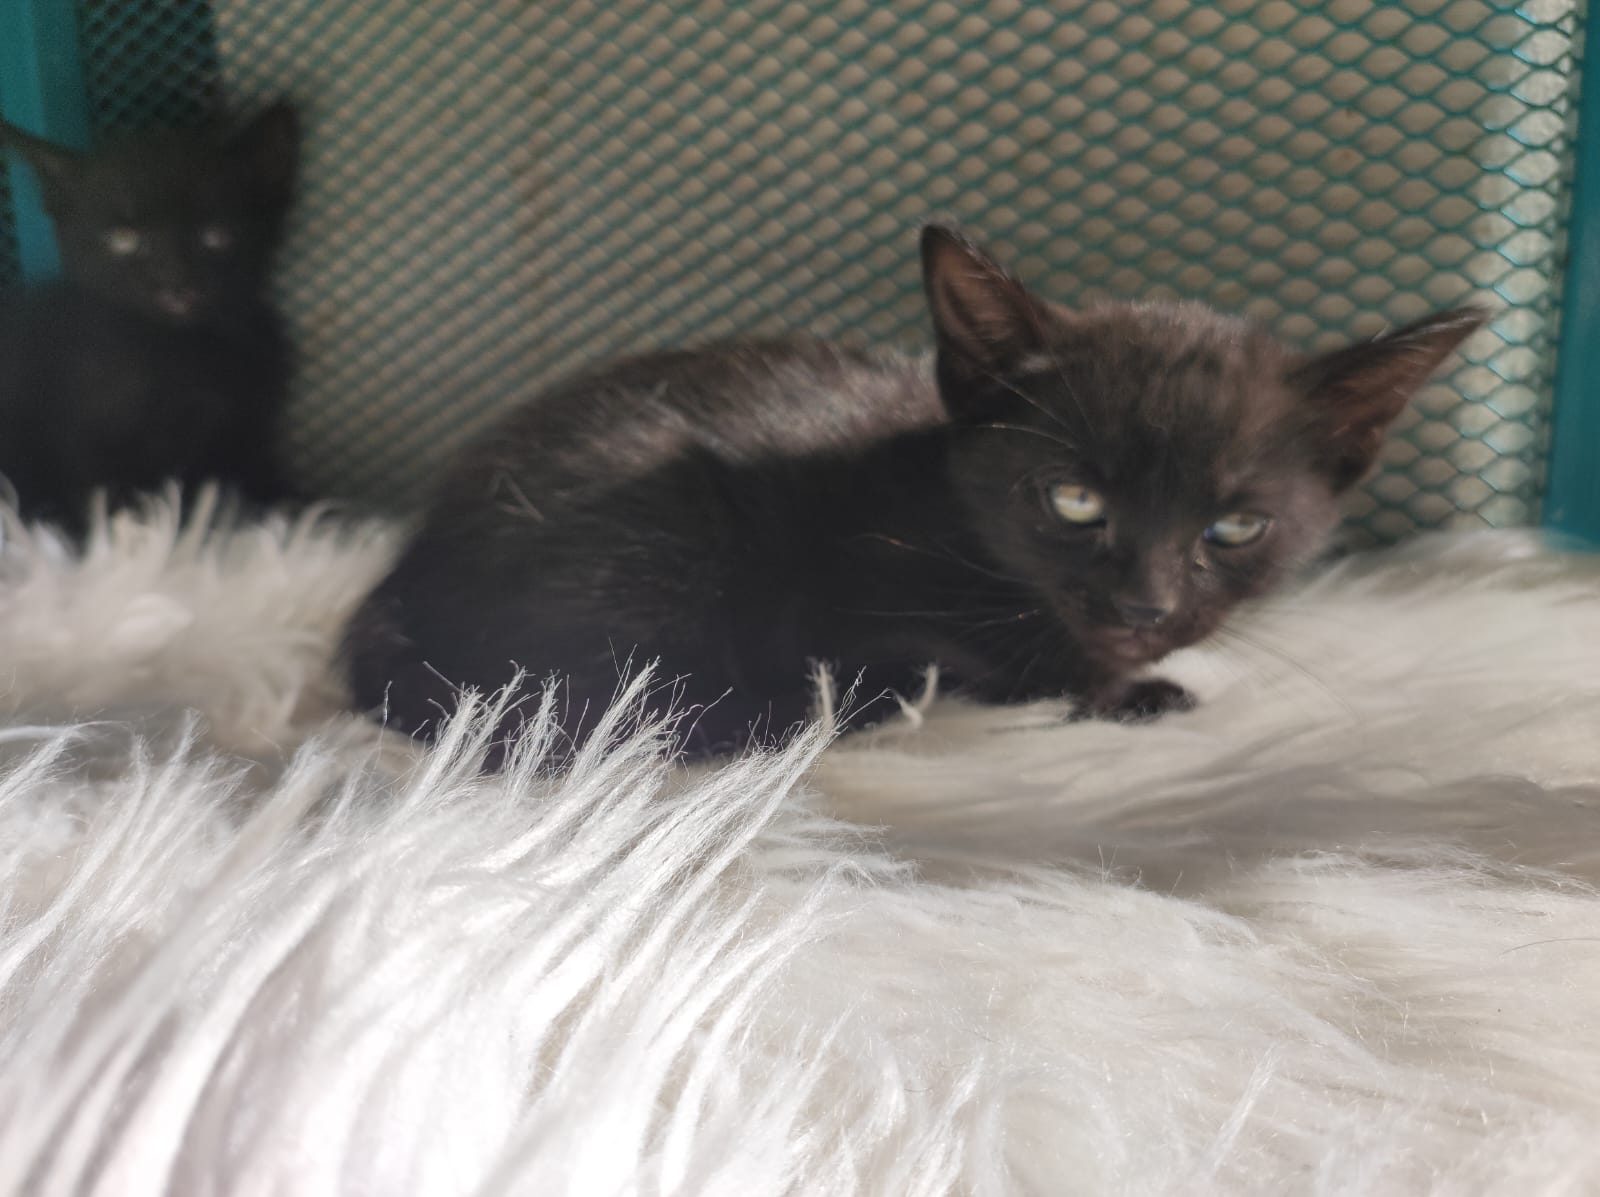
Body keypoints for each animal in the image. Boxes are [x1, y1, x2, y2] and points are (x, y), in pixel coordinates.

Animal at [0, 101, 300, 532]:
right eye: (124, 239)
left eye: (215, 234)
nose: (175, 280)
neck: (176, 349)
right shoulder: (83, 435)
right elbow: (102, 501)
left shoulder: (244, 431)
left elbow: (255, 476)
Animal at [342, 224, 1484, 762]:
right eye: (1073, 501)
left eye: (1234, 526)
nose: (1143, 606)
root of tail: (404, 570)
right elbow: (971, 672)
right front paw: (1119, 693)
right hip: (661, 525)